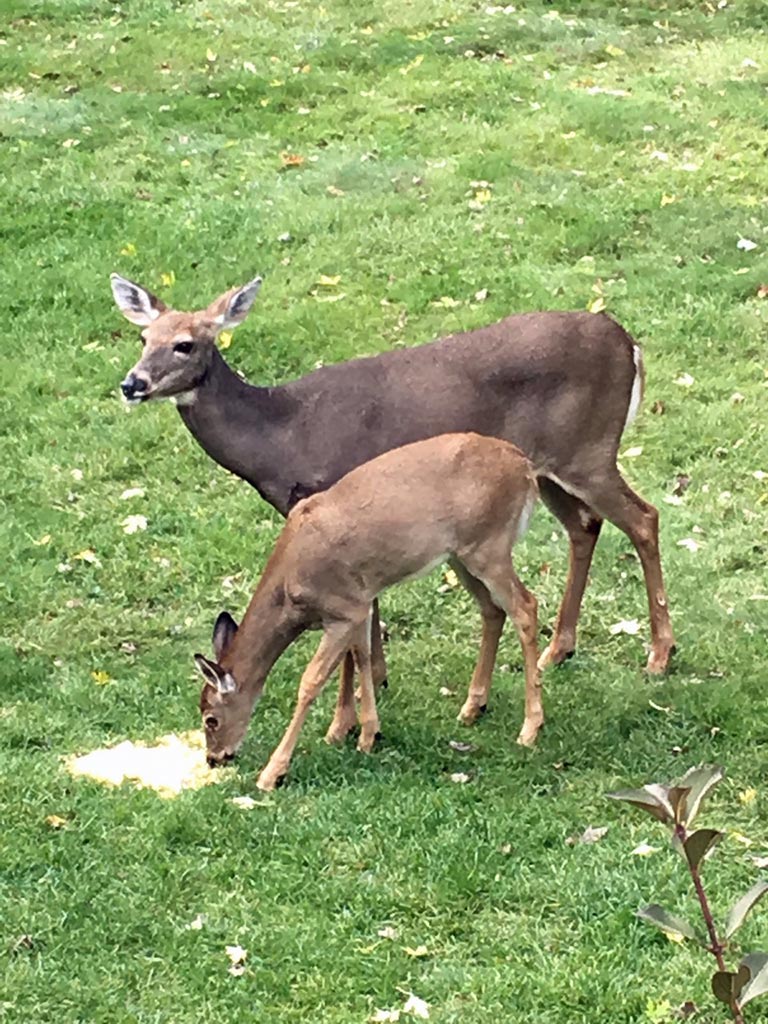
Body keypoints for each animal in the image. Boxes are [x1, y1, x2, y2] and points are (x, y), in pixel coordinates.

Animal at [110, 273, 675, 688]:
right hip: (549, 466)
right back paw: (559, 650)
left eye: (185, 344)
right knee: (586, 525)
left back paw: (659, 655)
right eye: (143, 337)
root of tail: (630, 344)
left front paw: (364, 692)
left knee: (644, 517)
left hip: (589, 449)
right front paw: (376, 681)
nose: (132, 383)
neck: (280, 432)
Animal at [193, 433, 540, 791]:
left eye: (210, 719)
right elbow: (362, 657)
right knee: (493, 610)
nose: (214, 758)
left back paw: (530, 728)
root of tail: (525, 466)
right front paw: (367, 735)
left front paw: (272, 772)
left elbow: (311, 681)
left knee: (526, 607)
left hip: (490, 545)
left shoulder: (342, 609)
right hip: (462, 555)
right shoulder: (359, 606)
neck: (290, 592)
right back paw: (472, 708)